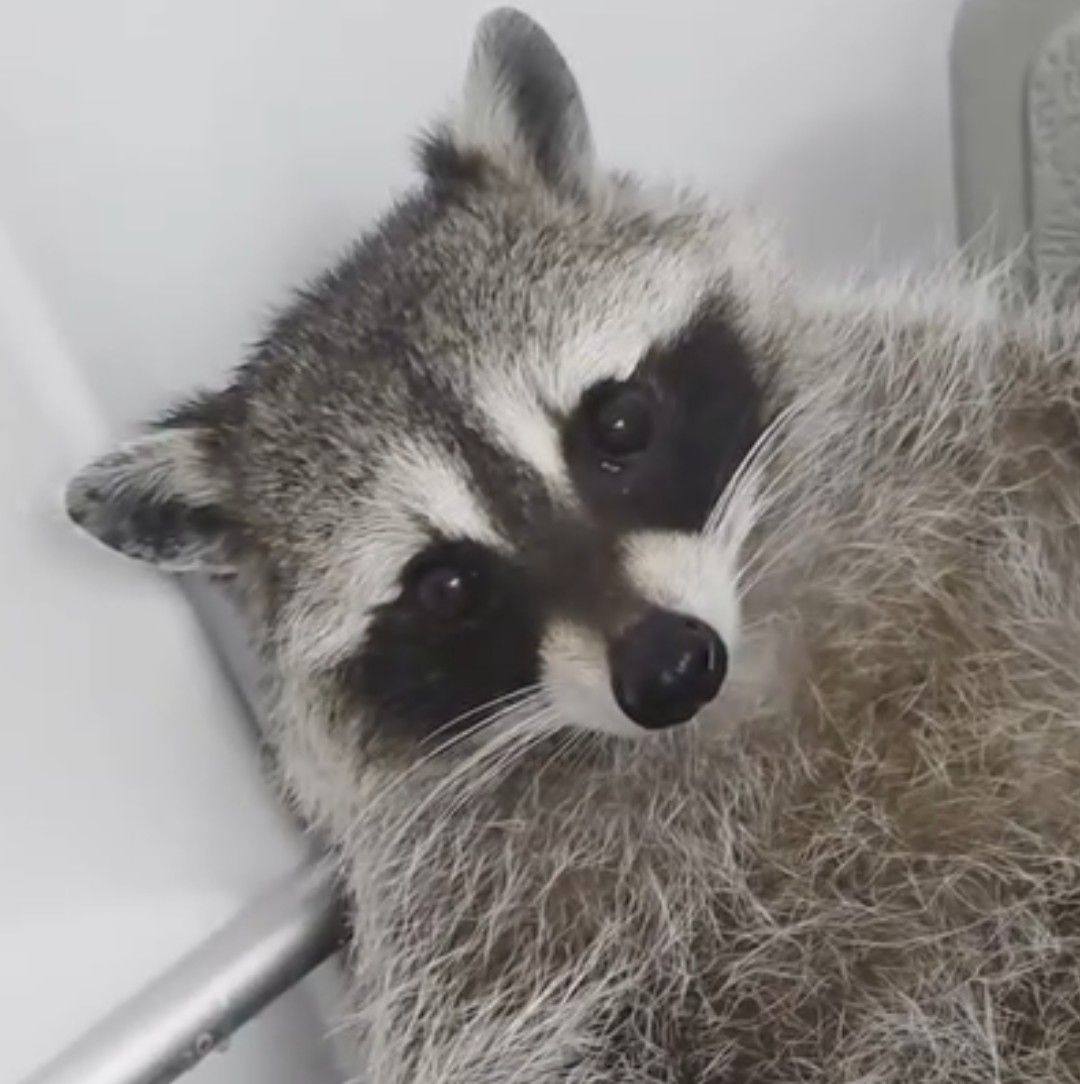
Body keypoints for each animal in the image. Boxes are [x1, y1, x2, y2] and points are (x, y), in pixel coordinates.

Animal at [67, 9, 1080, 1082]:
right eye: (447, 586)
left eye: (620, 424)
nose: (668, 669)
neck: (736, 696)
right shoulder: (474, 936)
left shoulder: (961, 404)